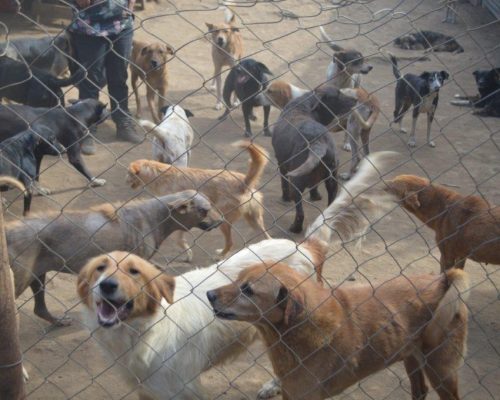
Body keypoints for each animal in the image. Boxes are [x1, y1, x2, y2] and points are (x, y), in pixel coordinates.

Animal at [6, 190, 222, 324]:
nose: (221, 221)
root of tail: (8, 230)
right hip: (20, 280)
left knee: (39, 309)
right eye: (204, 210)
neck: (154, 218)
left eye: (212, 206)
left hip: (38, 275)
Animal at [127, 141, 272, 260]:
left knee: (230, 242)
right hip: (253, 220)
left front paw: (188, 254)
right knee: (268, 238)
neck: (160, 175)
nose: (125, 180)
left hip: (223, 220)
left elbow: (179, 240)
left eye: (128, 173)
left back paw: (220, 256)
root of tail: (243, 182)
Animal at [207, 262, 468, 400]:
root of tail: (444, 279)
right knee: (420, 390)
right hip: (412, 358)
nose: (209, 294)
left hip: (441, 370)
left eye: (248, 290)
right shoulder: (290, 393)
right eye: (237, 279)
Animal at [272, 86, 362, 233]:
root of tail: (317, 140)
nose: (356, 99)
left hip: (296, 183)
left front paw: (285, 198)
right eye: (337, 94)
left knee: (300, 213)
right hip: (333, 181)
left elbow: (283, 184)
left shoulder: (282, 165)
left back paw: (295, 228)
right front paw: (316, 196)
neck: (305, 106)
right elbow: (314, 186)